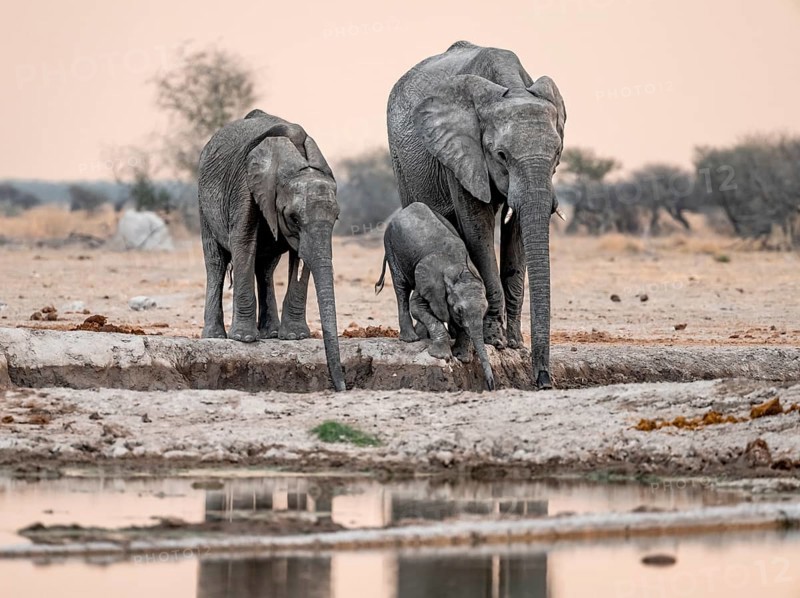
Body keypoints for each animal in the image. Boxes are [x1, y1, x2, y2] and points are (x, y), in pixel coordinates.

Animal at [197, 109, 345, 392]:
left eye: (337, 218)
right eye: (294, 218)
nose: (342, 385)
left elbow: (301, 257)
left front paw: (295, 337)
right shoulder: (245, 187)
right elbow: (243, 242)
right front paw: (243, 339)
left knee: (265, 268)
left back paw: (271, 334)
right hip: (202, 204)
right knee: (215, 262)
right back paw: (215, 336)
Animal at [375, 203, 495, 390]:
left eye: (485, 312)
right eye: (458, 310)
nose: (491, 385)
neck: (459, 268)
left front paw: (462, 358)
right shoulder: (429, 282)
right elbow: (417, 308)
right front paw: (443, 357)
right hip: (390, 245)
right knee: (401, 288)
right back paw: (411, 339)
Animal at [387, 41, 566, 389]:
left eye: (557, 154)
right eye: (501, 155)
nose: (543, 381)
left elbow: (518, 231)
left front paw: (515, 344)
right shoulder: (459, 150)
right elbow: (477, 225)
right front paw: (494, 339)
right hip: (401, 160)